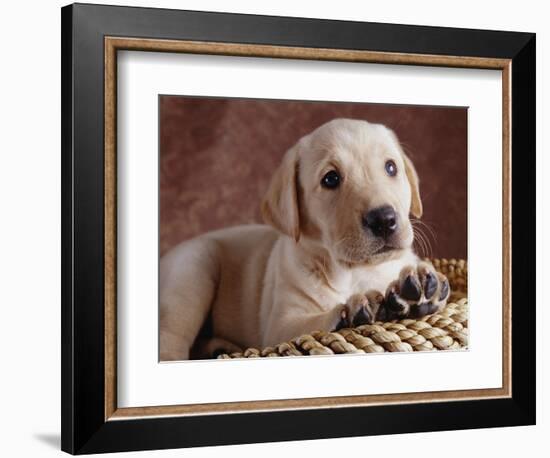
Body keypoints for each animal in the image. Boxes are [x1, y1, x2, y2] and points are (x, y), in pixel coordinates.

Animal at [158, 119, 448, 362]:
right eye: (331, 179)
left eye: (391, 167)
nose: (384, 219)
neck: (356, 272)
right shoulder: (280, 325)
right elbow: (311, 325)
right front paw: (352, 311)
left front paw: (422, 288)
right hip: (194, 269)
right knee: (171, 338)